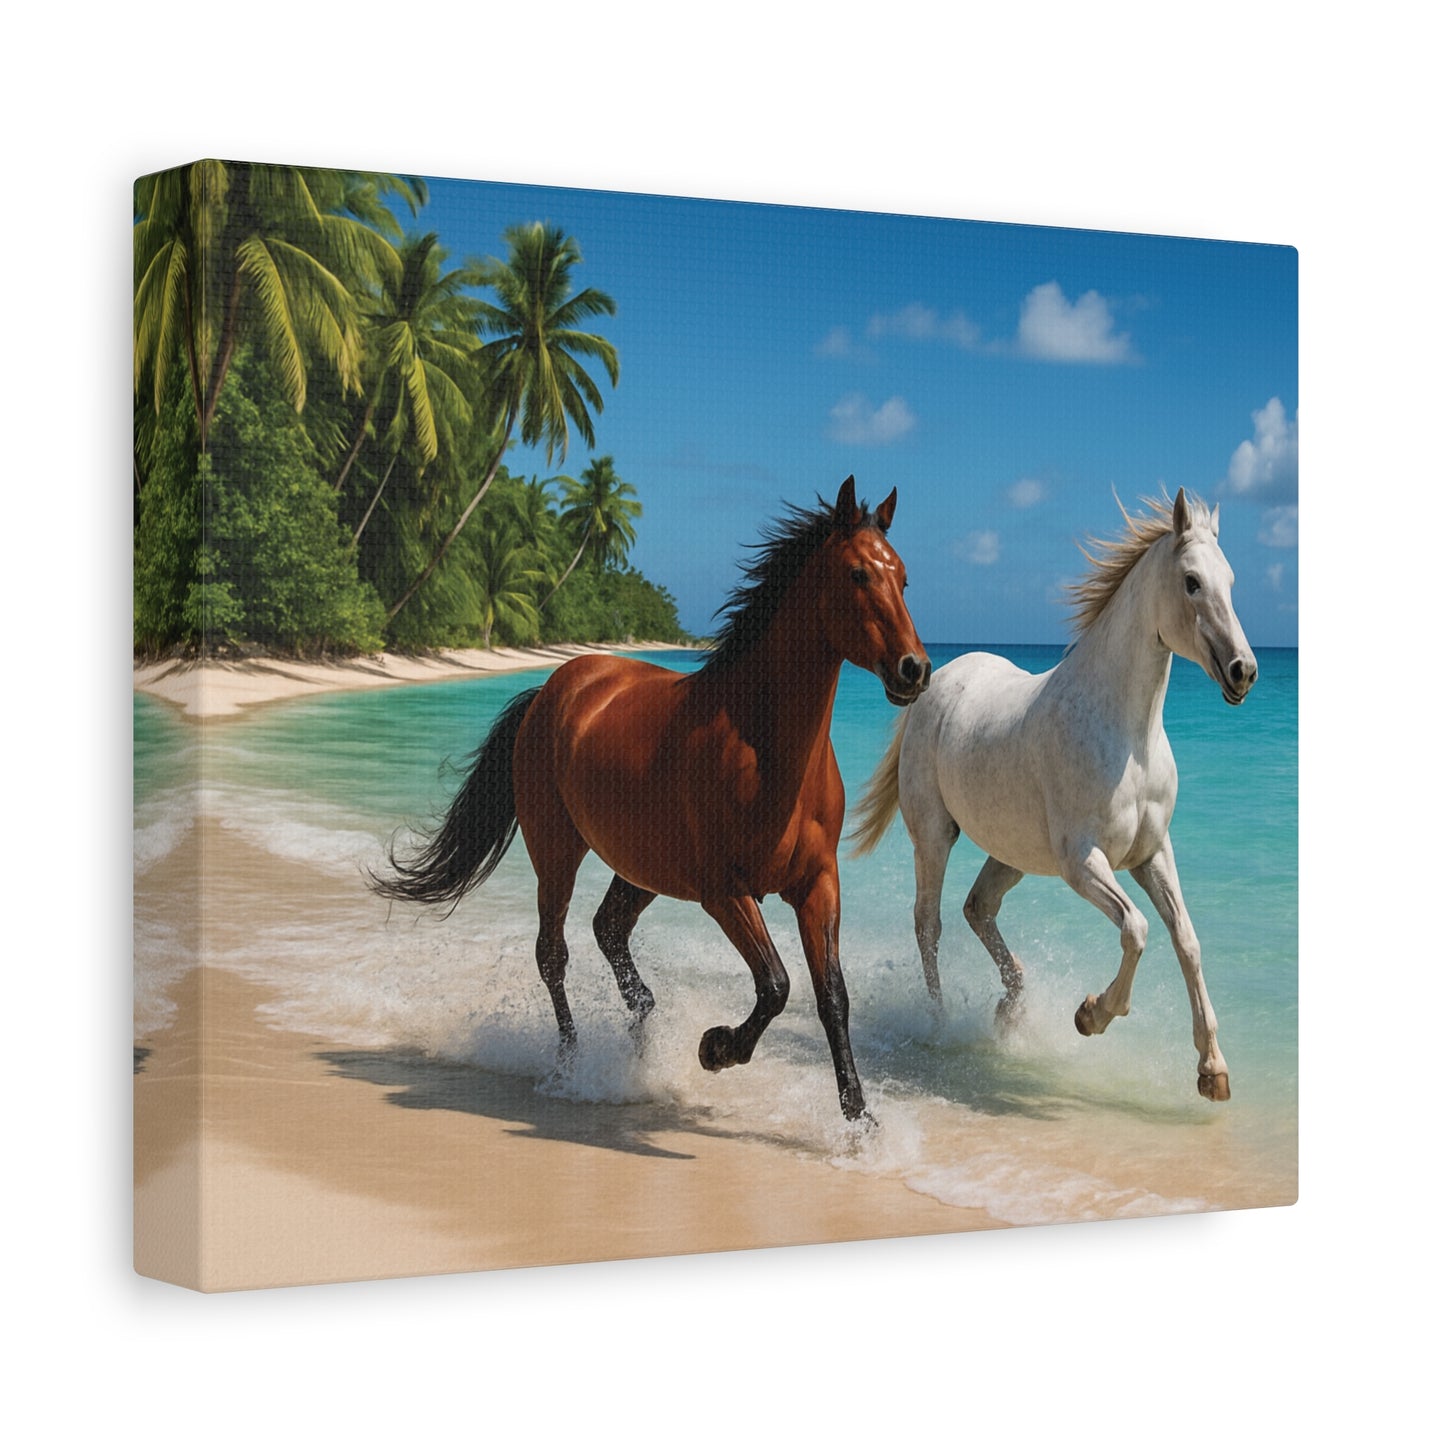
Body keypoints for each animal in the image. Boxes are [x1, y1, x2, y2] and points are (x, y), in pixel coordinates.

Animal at [372, 477, 930, 1122]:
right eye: (858, 573)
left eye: (904, 578)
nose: (915, 670)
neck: (759, 746)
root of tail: (555, 687)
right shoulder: (724, 891)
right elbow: (776, 984)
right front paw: (716, 1049)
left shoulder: (817, 883)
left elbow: (831, 996)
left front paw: (860, 1120)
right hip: (557, 853)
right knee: (553, 953)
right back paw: (571, 1066)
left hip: (642, 868)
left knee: (608, 930)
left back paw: (640, 1034)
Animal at [850, 489, 1256, 1101]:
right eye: (1191, 581)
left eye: (1231, 580)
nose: (1243, 672)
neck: (1127, 736)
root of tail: (934, 680)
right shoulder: (1082, 862)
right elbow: (1137, 930)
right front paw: (1091, 1014)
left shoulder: (1152, 855)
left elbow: (1186, 939)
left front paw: (1213, 1069)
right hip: (935, 838)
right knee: (929, 923)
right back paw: (939, 1024)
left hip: (1012, 854)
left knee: (978, 908)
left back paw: (1010, 1007)